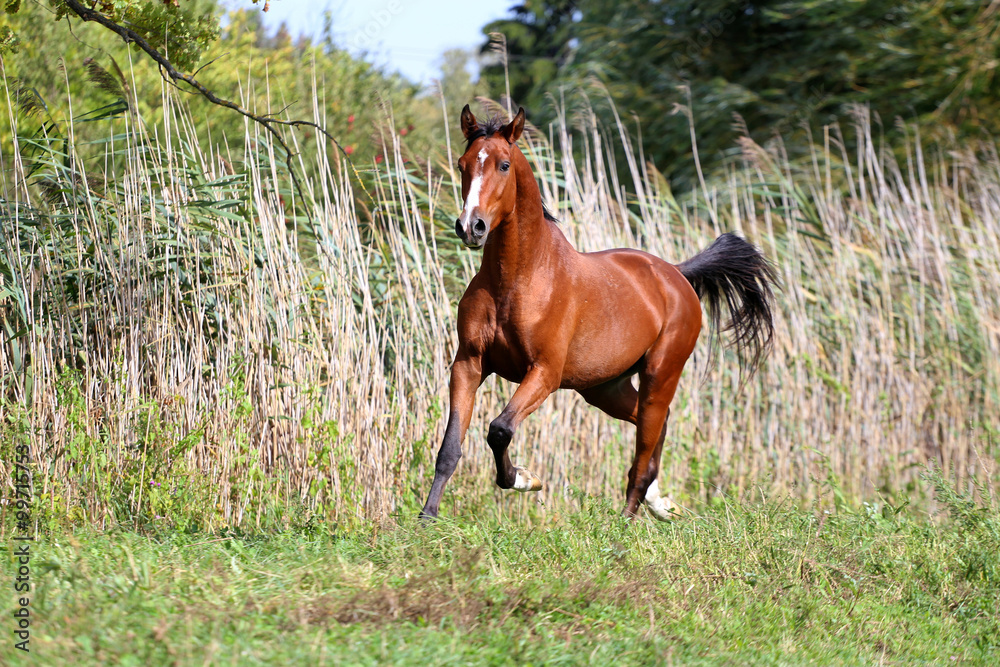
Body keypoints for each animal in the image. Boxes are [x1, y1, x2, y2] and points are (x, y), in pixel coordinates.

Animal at [419, 105, 777, 520]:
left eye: (504, 165)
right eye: (463, 165)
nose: (470, 227)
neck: (516, 280)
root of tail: (676, 274)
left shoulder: (544, 373)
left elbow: (500, 429)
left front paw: (524, 479)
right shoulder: (469, 363)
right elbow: (449, 447)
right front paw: (426, 518)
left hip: (660, 375)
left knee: (644, 447)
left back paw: (629, 521)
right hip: (605, 388)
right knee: (653, 428)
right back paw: (660, 502)